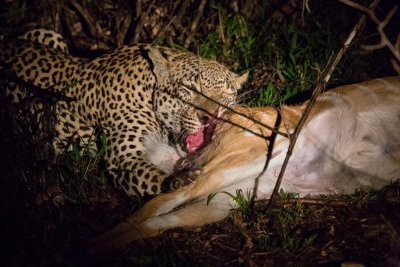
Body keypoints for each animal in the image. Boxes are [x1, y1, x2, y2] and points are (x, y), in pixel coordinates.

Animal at [0, 29, 248, 199]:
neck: (147, 90)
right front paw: (177, 182)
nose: (212, 115)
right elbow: (150, 177)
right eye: (189, 88)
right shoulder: (124, 159)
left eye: (226, 92)